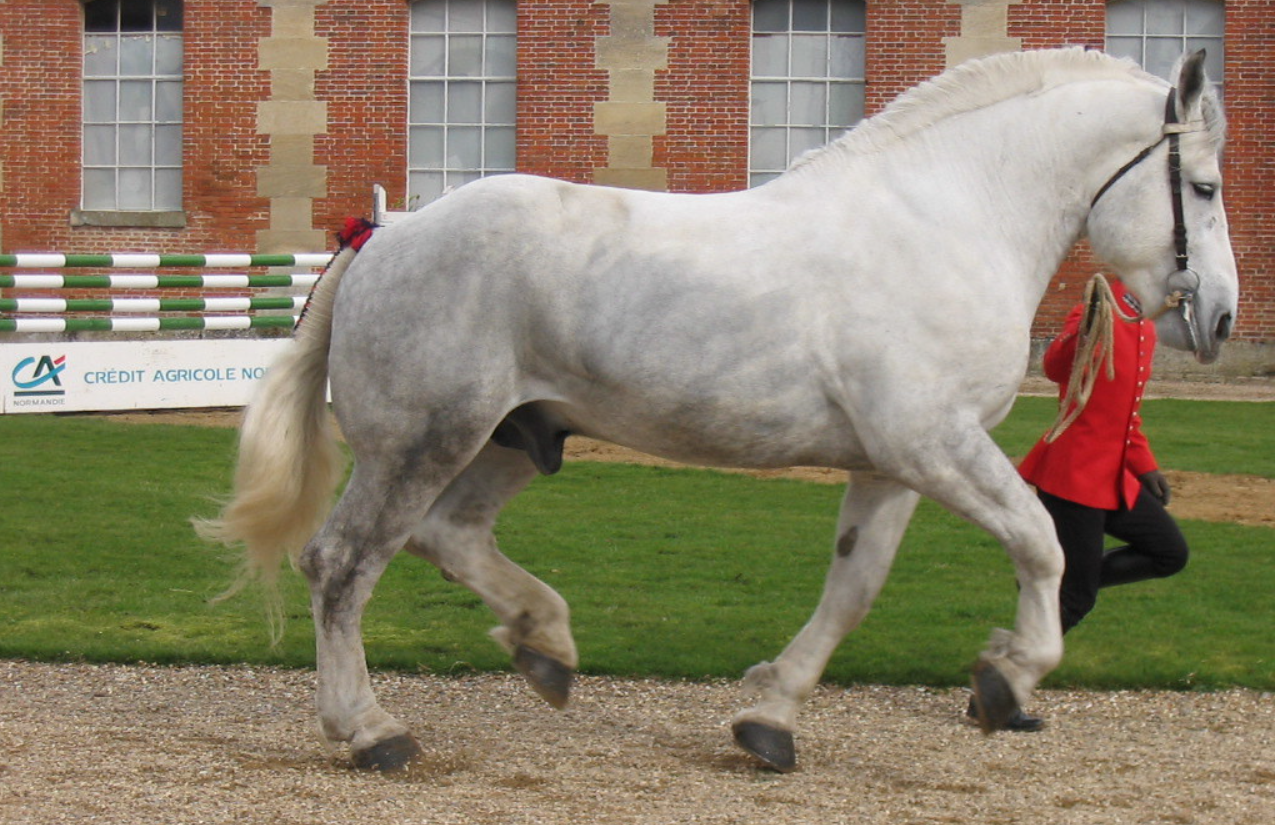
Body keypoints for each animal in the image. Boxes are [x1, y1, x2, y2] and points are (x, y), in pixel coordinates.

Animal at [201, 50, 1234, 775]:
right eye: (1206, 186)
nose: (1220, 316)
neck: (945, 220)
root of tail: (388, 233)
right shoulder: (932, 442)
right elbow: (1042, 542)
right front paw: (1005, 676)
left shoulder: (890, 464)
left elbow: (852, 589)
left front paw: (769, 716)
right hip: (421, 440)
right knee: (343, 563)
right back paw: (369, 727)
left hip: (514, 438)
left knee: (446, 536)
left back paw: (545, 644)